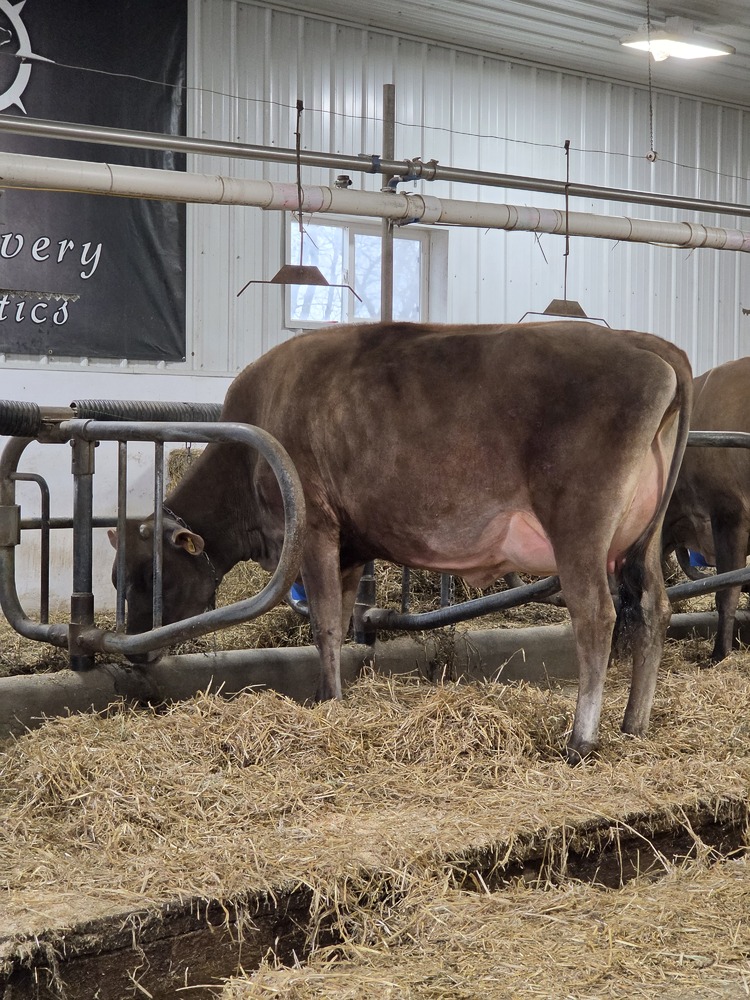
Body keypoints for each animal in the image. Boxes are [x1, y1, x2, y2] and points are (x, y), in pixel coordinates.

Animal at [109, 321, 692, 763]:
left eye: (150, 576)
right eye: (116, 579)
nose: (134, 653)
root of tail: (648, 345)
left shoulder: (314, 527)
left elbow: (323, 623)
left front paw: (330, 702)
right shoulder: (348, 546)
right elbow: (338, 619)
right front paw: (328, 696)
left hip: (579, 522)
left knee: (596, 615)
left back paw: (581, 739)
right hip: (641, 539)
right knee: (653, 609)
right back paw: (634, 723)